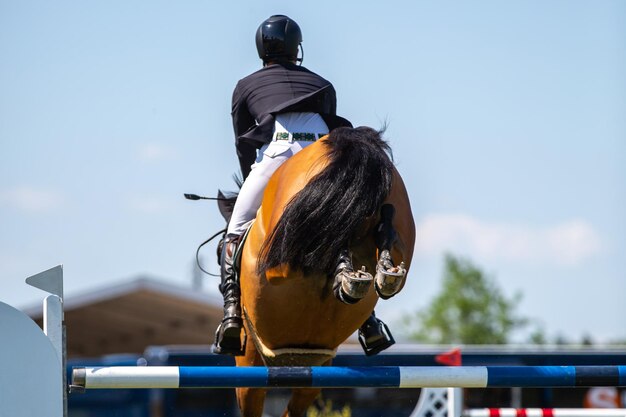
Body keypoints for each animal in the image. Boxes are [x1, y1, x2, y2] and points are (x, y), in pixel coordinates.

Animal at [232, 126, 412, 416]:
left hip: (279, 263)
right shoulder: (313, 373)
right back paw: (378, 272)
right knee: (381, 233)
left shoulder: (249, 367)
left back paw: (351, 276)